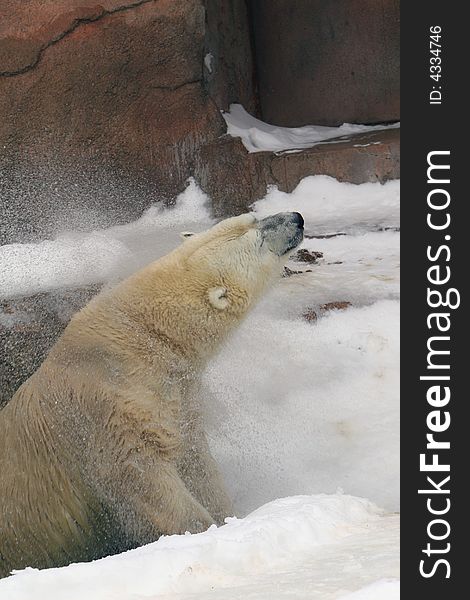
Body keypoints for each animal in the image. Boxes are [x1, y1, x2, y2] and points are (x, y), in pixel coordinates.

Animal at [0, 211, 304, 576]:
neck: (139, 336)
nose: (297, 218)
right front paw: (204, 532)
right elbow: (148, 483)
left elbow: (196, 463)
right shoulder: (110, 410)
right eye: (258, 238)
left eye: (254, 217)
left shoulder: (178, 399)